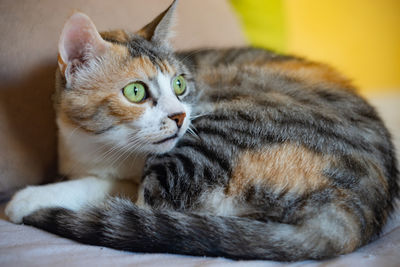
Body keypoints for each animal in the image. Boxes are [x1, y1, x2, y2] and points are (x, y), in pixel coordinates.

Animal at [4, 0, 398, 262]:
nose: (179, 116)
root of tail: (355, 210)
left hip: (213, 138)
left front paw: (29, 198)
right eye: (136, 91)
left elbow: (105, 186)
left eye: (179, 84)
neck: (98, 149)